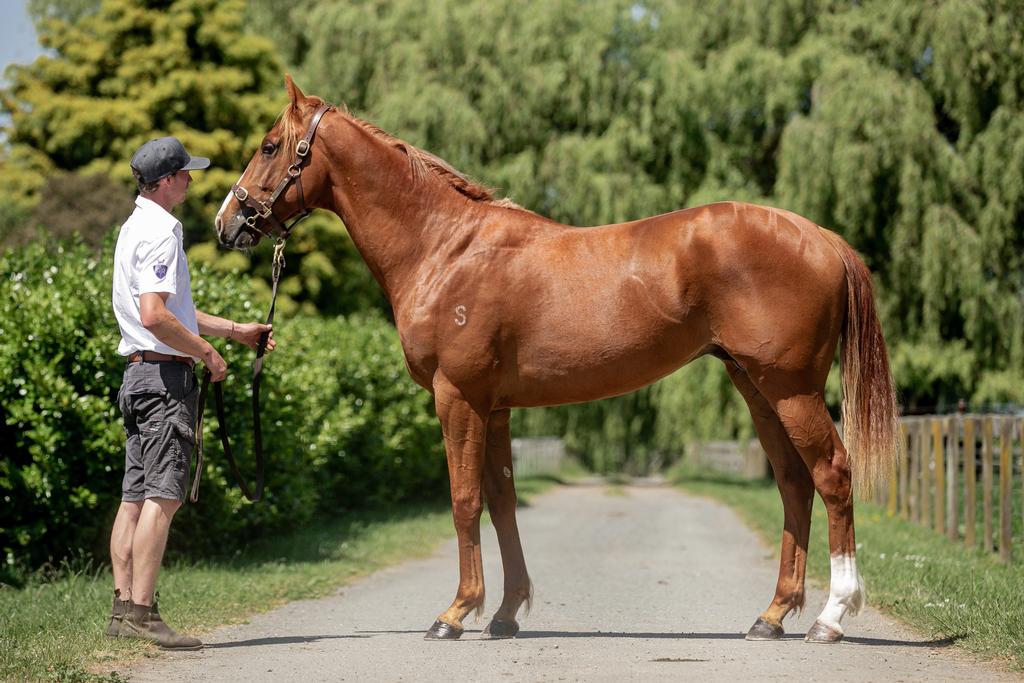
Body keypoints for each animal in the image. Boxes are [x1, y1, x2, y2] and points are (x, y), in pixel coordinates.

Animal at [215, 76, 901, 644]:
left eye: (271, 145)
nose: (228, 223)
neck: (446, 247)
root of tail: (821, 237)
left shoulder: (457, 398)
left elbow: (463, 500)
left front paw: (454, 614)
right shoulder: (493, 409)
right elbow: (501, 501)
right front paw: (504, 613)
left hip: (791, 390)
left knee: (833, 474)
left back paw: (831, 618)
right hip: (756, 388)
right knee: (794, 484)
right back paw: (771, 616)